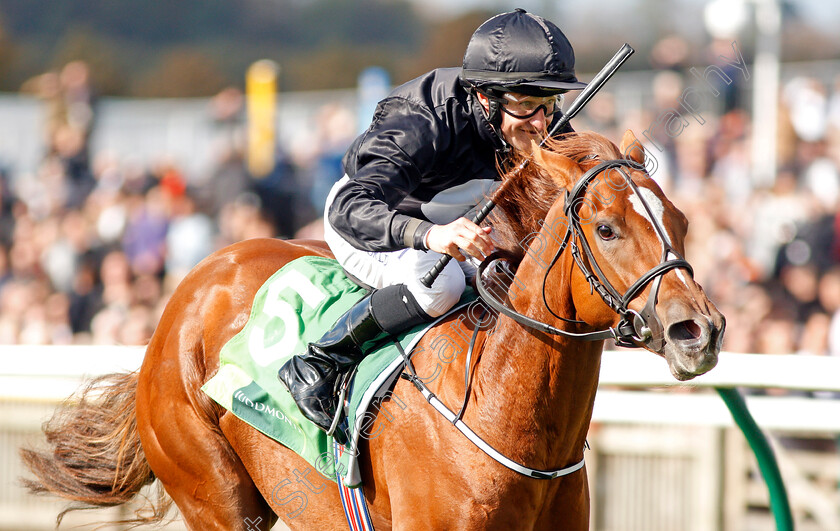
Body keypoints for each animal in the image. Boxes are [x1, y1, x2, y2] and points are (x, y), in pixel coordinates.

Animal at [23, 131, 724, 528]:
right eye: (606, 228)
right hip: (212, 492)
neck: (504, 413)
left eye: (682, 220)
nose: (698, 330)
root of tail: (192, 287)